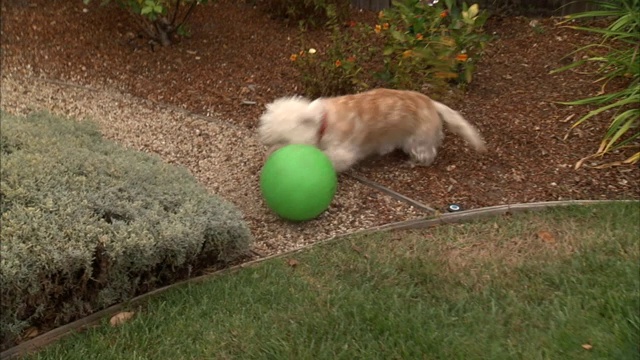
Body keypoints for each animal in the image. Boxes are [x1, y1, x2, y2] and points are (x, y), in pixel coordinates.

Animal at [258, 87, 488, 172]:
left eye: (283, 139)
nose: (269, 152)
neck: (324, 120)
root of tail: (431, 103)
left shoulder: (343, 152)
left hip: (418, 141)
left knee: (428, 154)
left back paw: (412, 162)